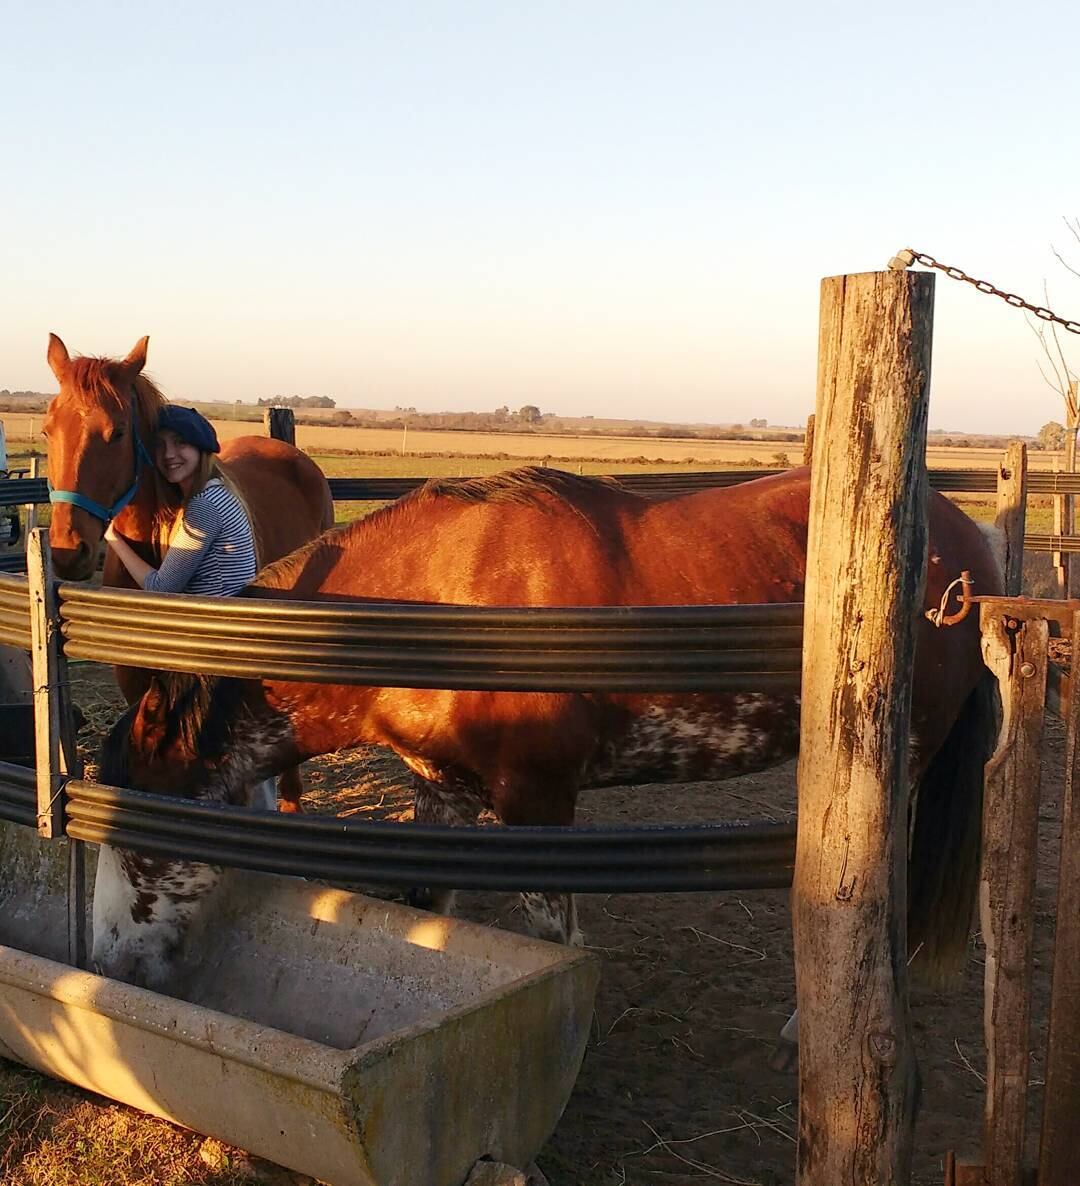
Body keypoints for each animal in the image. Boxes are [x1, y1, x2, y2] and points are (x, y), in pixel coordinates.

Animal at [97, 467, 1000, 986]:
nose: (112, 962)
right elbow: (431, 908)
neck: (435, 605)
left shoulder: (537, 803)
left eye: (134, 834)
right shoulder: (443, 791)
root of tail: (969, 548)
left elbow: (553, 929)